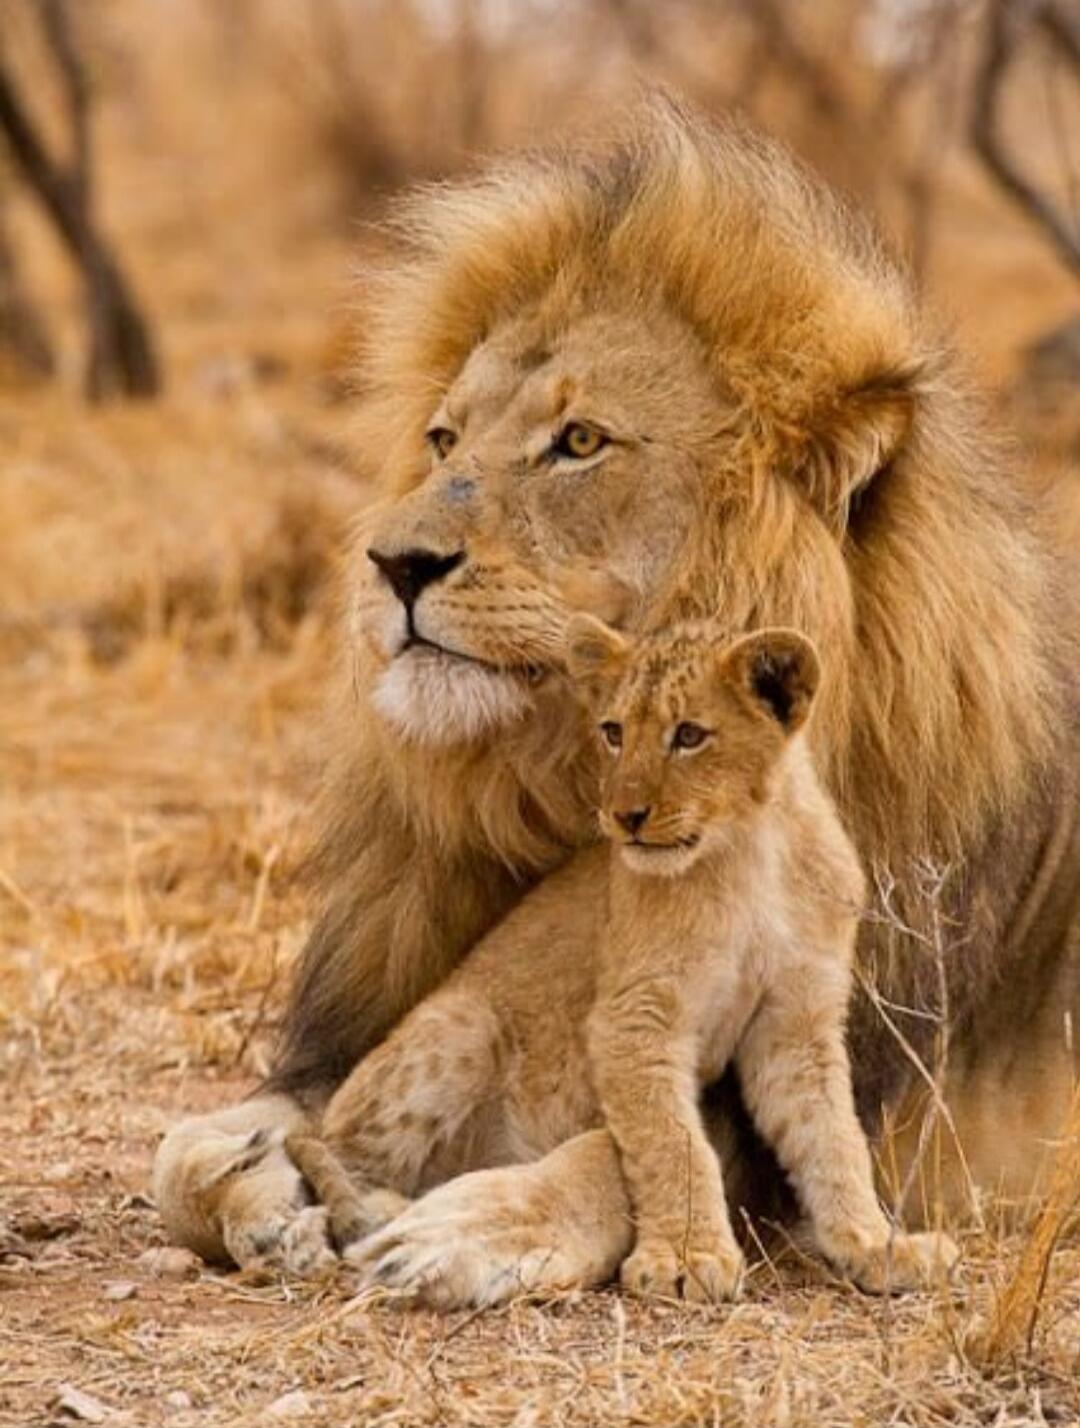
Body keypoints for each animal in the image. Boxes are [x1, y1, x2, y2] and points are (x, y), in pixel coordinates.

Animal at [284, 618, 957, 1304]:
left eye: (688, 735)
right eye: (613, 732)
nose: (625, 817)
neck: (751, 850)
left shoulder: (796, 1026)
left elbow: (833, 1140)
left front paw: (877, 1247)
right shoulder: (633, 1018)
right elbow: (672, 1142)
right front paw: (686, 1259)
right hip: (466, 1025)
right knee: (318, 1143)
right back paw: (373, 1217)